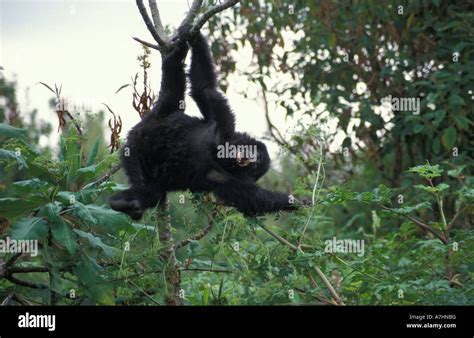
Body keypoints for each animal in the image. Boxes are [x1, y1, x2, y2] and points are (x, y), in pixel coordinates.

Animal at [109, 33, 302, 220]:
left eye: (256, 167)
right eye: (257, 155)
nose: (252, 160)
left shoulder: (227, 180)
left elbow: (253, 199)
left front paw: (297, 202)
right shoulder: (219, 123)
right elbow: (205, 90)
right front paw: (196, 39)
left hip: (135, 151)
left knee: (150, 190)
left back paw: (126, 203)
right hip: (144, 135)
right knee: (173, 87)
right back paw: (178, 52)